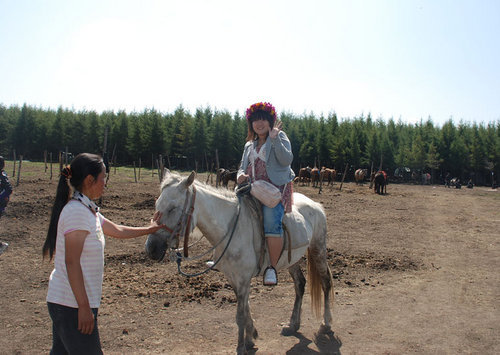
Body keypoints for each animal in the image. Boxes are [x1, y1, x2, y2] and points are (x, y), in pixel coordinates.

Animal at [145, 171, 334, 354]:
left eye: (172, 208)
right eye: (157, 204)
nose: (151, 248)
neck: (230, 229)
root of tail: (316, 205)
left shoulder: (243, 279)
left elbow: (240, 315)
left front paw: (241, 347)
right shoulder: (234, 278)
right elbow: (246, 308)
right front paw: (251, 337)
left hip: (318, 249)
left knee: (326, 282)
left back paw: (326, 324)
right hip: (291, 260)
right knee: (300, 284)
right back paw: (293, 325)